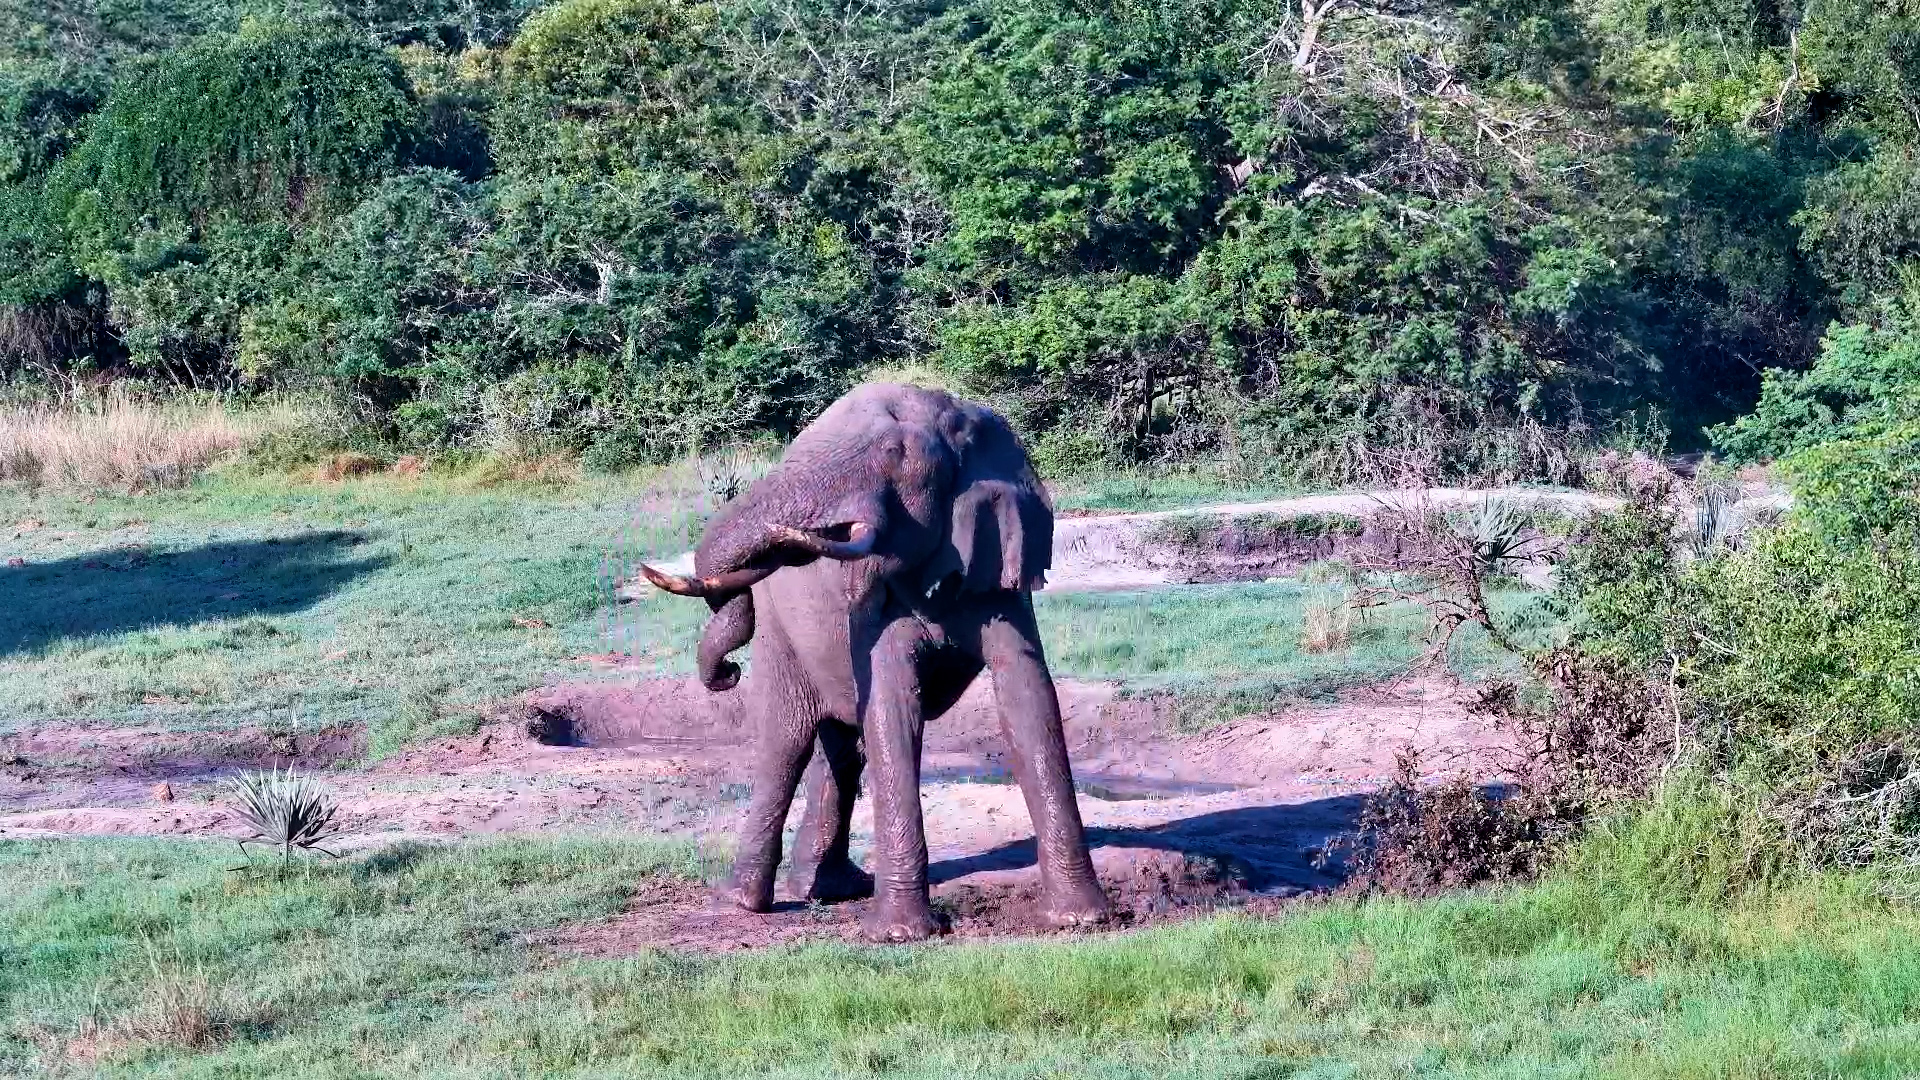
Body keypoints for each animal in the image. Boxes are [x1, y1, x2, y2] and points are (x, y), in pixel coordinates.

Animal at [636, 383, 1110, 941]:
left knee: (843, 747)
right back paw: (742, 903)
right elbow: (894, 707)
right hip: (780, 627)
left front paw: (1081, 920)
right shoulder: (875, 598)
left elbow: (1027, 693)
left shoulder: (997, 564)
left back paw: (830, 890)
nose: (727, 673)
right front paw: (903, 935)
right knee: (786, 742)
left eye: (890, 454)